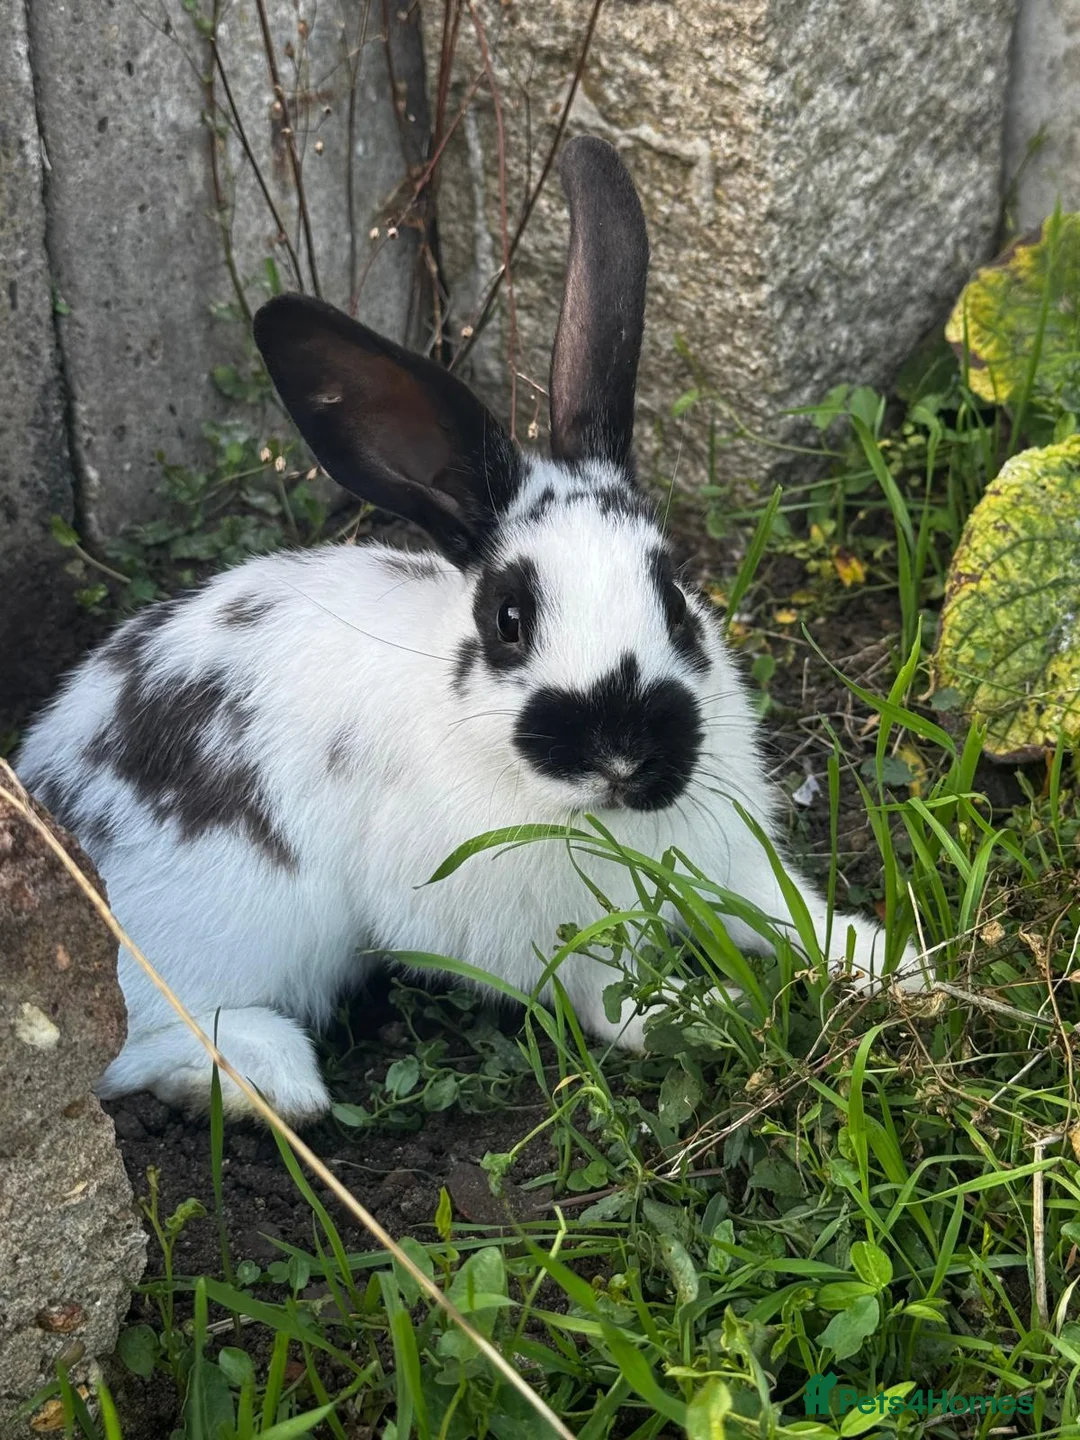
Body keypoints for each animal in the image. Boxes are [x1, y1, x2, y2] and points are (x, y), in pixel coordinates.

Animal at [16, 136, 925, 1122]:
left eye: (675, 594)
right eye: (508, 619)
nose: (622, 753)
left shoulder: (722, 857)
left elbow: (784, 911)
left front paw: (902, 966)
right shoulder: (531, 931)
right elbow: (606, 998)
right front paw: (715, 1013)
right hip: (216, 923)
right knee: (153, 1036)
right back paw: (274, 1082)